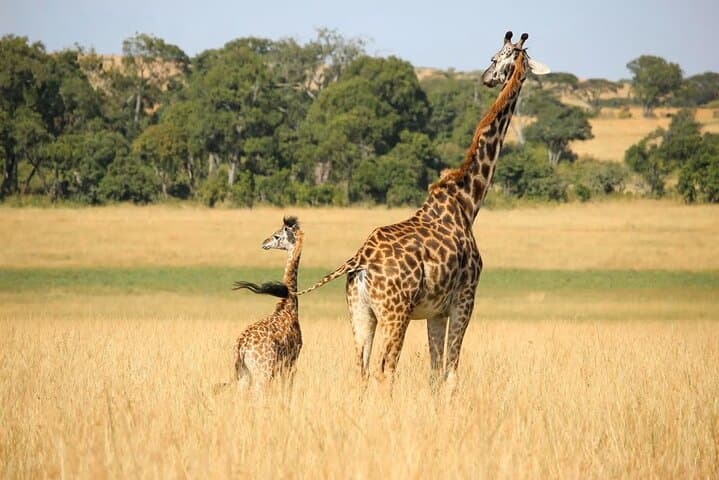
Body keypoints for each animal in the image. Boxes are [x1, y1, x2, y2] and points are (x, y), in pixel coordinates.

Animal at [225, 216, 304, 393]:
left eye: (276, 235)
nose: (264, 243)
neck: (288, 305)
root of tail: (241, 346)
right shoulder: (291, 361)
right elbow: (287, 391)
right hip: (263, 372)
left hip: (244, 374)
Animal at [298, 31, 550, 389]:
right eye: (496, 57)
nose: (487, 78)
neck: (468, 202)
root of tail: (359, 260)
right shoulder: (465, 298)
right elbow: (451, 371)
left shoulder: (436, 311)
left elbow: (434, 372)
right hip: (396, 312)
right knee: (385, 369)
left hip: (360, 312)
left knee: (362, 370)